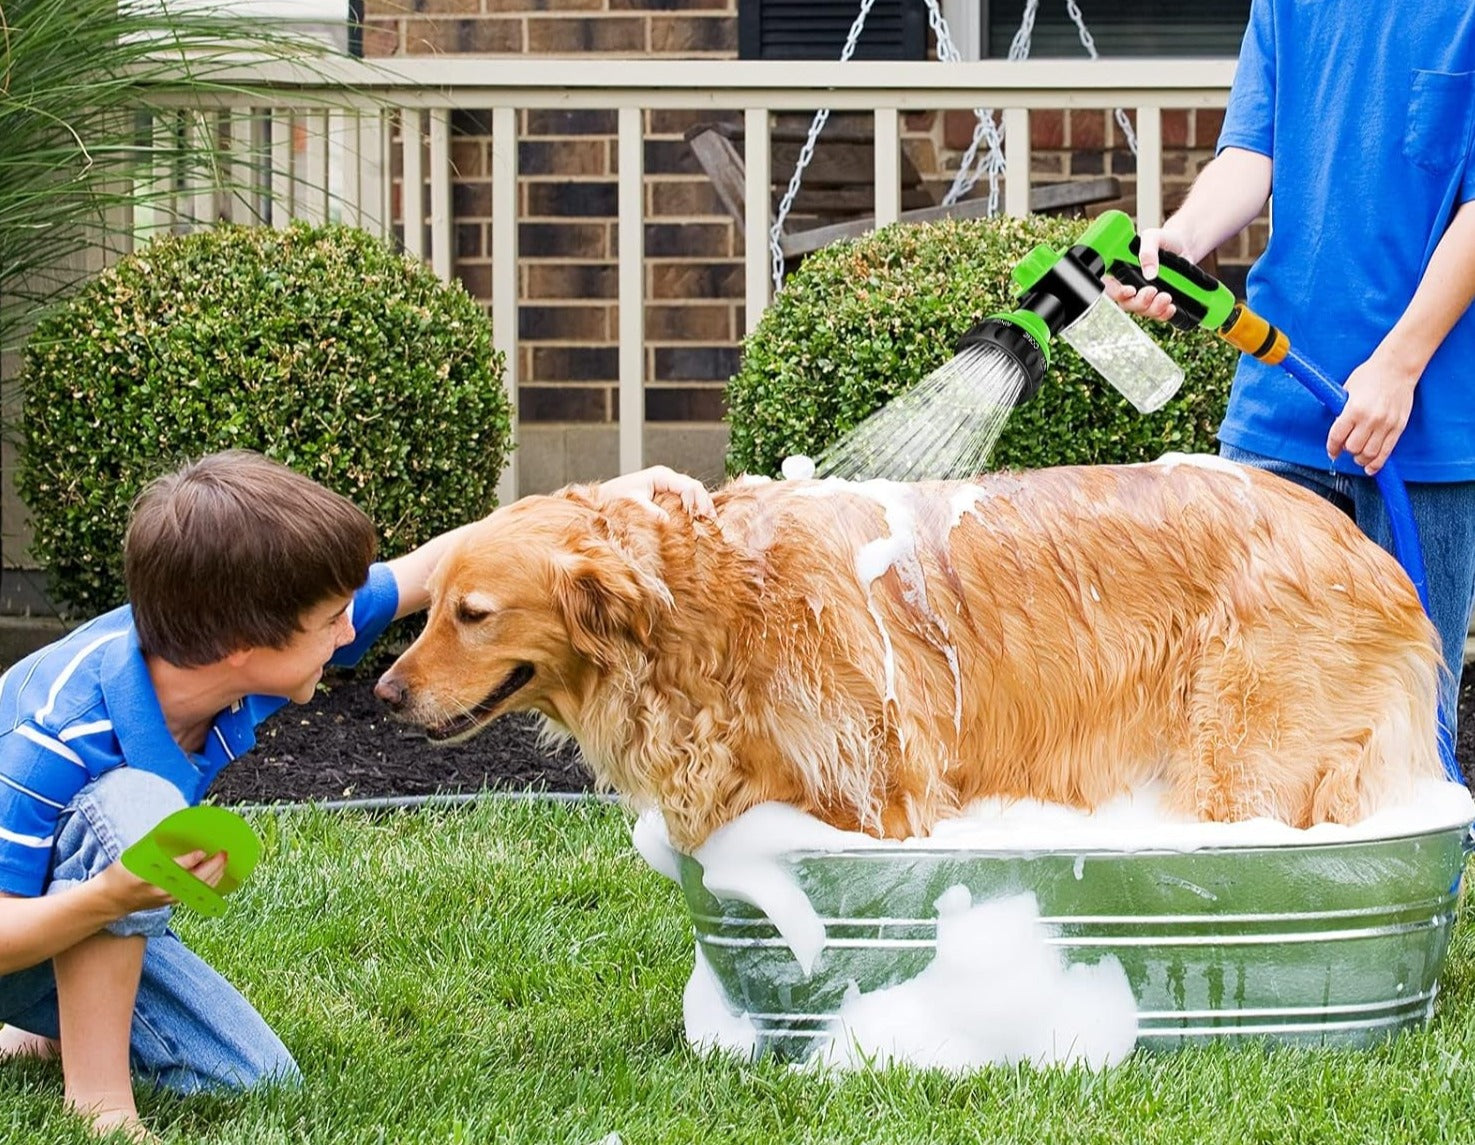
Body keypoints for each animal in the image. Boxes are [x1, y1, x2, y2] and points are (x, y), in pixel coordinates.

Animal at [377, 463, 1439, 849]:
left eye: (473, 614)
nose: (383, 692)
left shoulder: (884, 791)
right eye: (430, 610)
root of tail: (1365, 547)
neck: (717, 603)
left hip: (1245, 756)